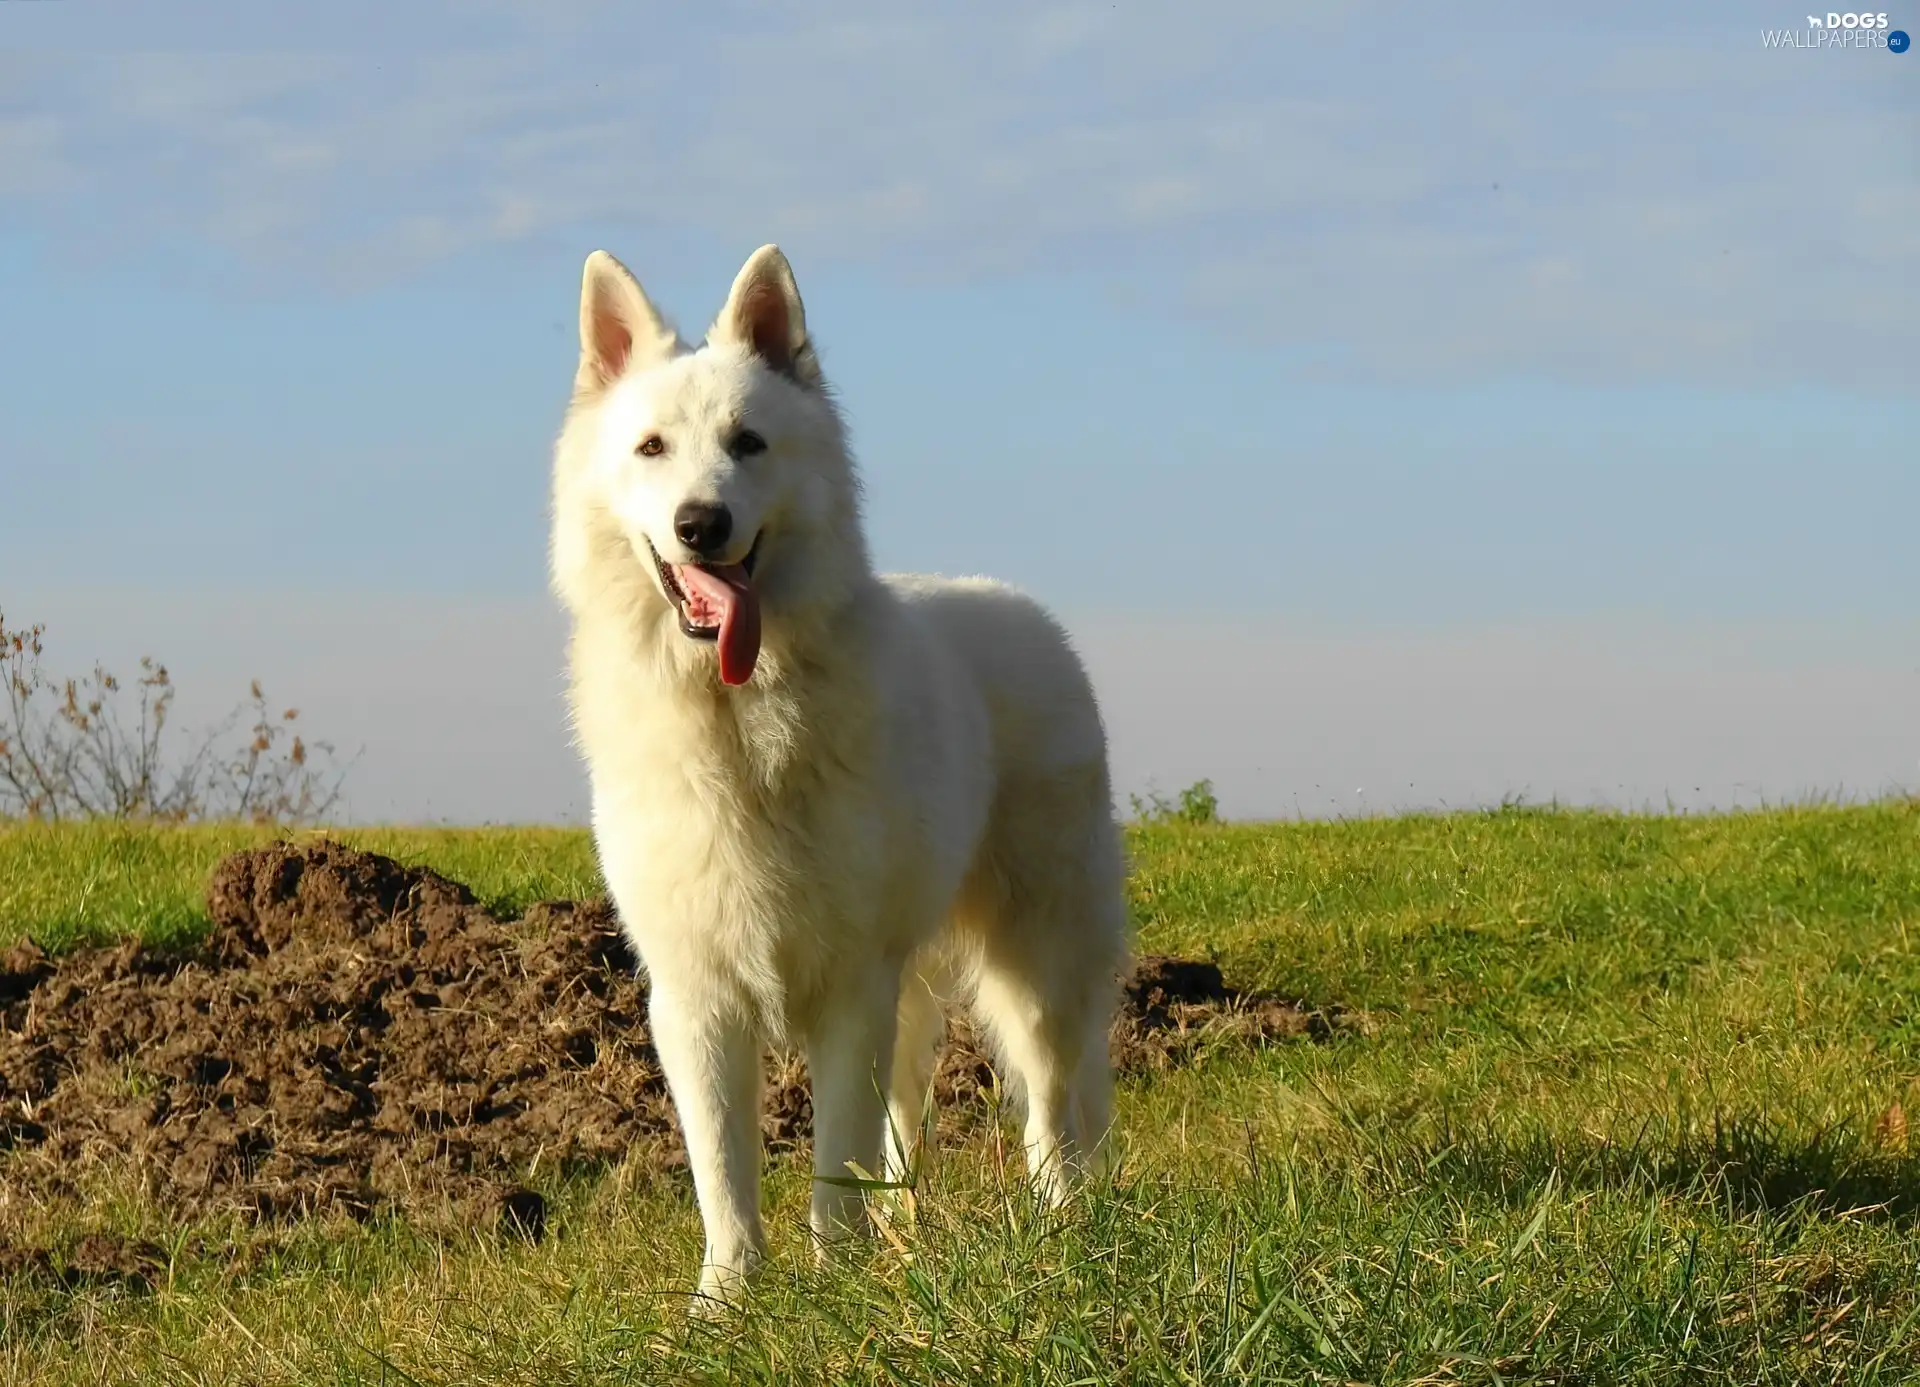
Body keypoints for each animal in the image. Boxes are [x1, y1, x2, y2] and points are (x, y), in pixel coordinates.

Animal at [549, 243, 1128, 1298]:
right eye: (652, 448)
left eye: (748, 443)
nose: (701, 523)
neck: (737, 725)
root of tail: (1027, 610)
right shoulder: (697, 999)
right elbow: (725, 1172)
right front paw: (729, 1300)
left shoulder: (853, 985)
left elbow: (834, 1162)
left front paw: (838, 1283)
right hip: (919, 989)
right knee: (911, 1124)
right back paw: (910, 1242)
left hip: (1037, 964)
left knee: (1051, 1110)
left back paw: (1062, 1228)